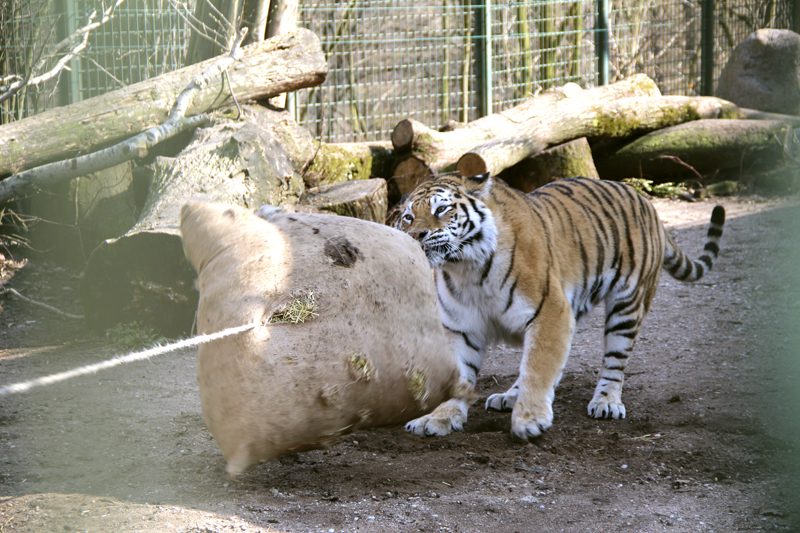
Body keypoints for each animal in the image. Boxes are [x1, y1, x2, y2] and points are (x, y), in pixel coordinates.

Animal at [394, 175, 724, 440]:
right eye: (409, 217)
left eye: (441, 209)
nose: (416, 235)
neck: (466, 268)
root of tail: (645, 202)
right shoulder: (460, 328)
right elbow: (461, 374)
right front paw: (440, 418)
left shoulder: (550, 311)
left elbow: (539, 367)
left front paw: (530, 420)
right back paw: (509, 396)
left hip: (628, 304)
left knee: (614, 361)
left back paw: (606, 402)